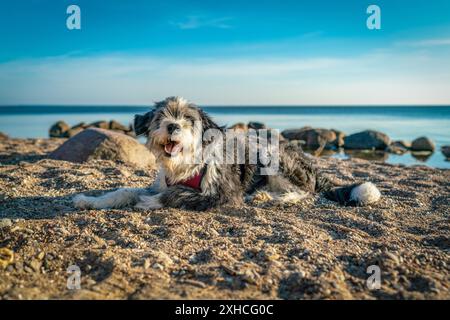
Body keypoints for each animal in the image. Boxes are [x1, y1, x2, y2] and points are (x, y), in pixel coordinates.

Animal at [73, 95, 380, 210]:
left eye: (189, 120)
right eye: (161, 117)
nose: (173, 126)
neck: (184, 165)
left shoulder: (223, 193)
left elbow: (177, 194)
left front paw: (151, 202)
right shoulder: (160, 182)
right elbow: (124, 190)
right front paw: (89, 200)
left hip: (274, 157)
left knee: (306, 192)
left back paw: (274, 196)